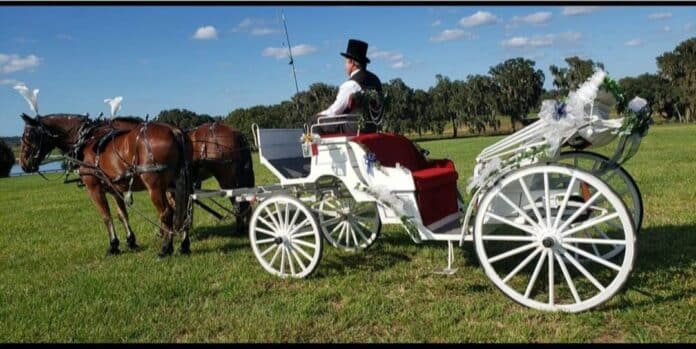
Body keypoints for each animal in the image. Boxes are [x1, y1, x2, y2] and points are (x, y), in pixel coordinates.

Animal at [19, 113, 193, 256]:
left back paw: (165, 248)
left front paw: (113, 245)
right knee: (185, 210)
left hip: (155, 186)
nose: (23, 163)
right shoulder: (114, 189)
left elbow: (106, 216)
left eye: (29, 135)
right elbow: (122, 214)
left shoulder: (93, 187)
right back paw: (184, 246)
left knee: (167, 212)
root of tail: (174, 131)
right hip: (177, 184)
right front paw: (130, 240)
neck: (84, 140)